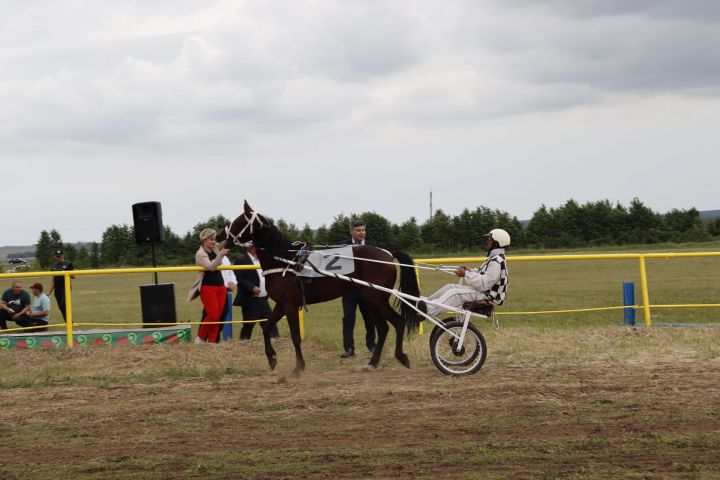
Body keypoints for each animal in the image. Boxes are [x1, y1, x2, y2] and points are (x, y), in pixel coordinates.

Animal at [225, 201, 422, 376]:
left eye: (239, 222)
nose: (222, 238)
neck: (286, 261)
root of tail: (388, 254)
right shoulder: (281, 305)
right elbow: (266, 327)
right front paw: (272, 359)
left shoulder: (289, 305)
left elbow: (295, 336)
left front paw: (298, 368)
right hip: (371, 300)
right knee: (382, 328)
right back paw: (372, 363)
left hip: (375, 298)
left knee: (398, 322)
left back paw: (401, 357)